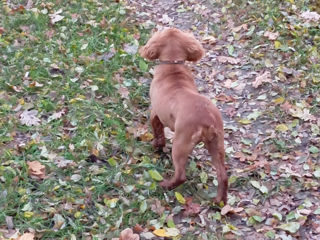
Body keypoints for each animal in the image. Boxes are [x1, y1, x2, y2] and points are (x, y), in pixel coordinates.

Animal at [140, 28, 228, 204]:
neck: (172, 65)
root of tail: (207, 119)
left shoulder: (155, 113)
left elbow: (157, 132)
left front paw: (156, 146)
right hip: (216, 144)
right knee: (223, 175)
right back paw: (219, 201)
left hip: (180, 144)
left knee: (181, 175)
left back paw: (165, 185)